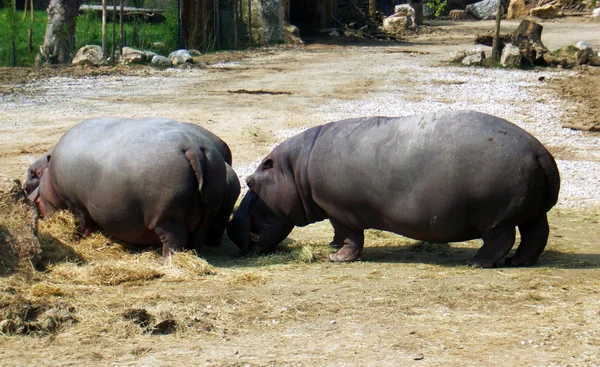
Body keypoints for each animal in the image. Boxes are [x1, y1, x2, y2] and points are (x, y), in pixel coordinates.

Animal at [27, 118, 239, 258]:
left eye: (33, 172)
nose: (28, 196)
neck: (50, 171)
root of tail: (193, 147)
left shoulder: (74, 201)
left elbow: (83, 222)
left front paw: (79, 239)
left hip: (167, 217)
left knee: (173, 240)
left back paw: (164, 262)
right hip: (206, 211)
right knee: (196, 237)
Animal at [227, 109, 560, 268]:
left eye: (251, 182)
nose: (231, 227)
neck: (295, 171)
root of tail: (538, 150)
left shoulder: (340, 210)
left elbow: (351, 236)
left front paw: (337, 258)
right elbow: (340, 235)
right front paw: (333, 249)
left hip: (494, 217)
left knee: (502, 240)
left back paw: (477, 263)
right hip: (532, 211)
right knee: (536, 234)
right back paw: (519, 262)